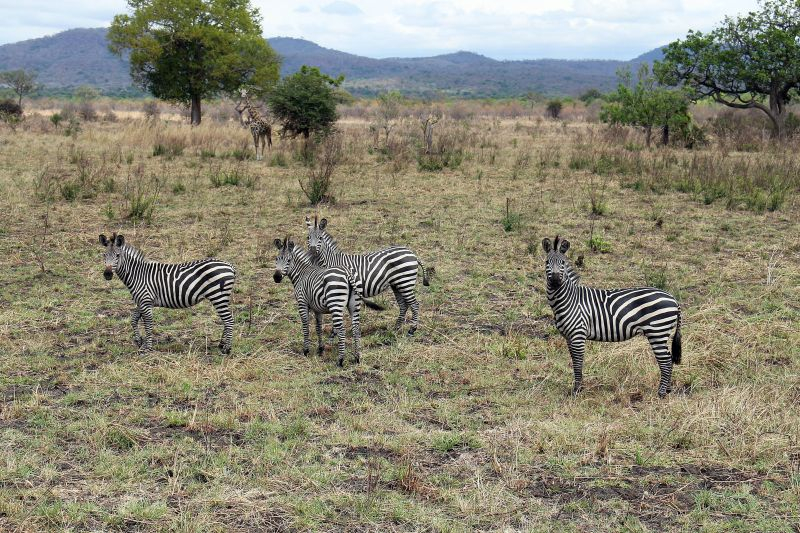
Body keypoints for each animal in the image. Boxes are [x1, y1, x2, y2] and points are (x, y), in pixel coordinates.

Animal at [97, 233, 234, 354]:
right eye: (104, 255)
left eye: (117, 255)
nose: (107, 274)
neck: (138, 274)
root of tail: (230, 266)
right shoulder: (141, 301)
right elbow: (134, 319)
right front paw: (139, 341)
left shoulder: (146, 301)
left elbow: (148, 324)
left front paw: (148, 348)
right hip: (221, 297)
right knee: (226, 320)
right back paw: (221, 344)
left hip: (218, 296)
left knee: (229, 320)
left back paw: (227, 349)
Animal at [272, 237, 384, 366]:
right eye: (276, 259)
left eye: (289, 260)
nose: (276, 277)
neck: (301, 274)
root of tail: (347, 273)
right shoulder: (317, 308)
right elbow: (318, 327)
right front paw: (320, 349)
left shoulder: (302, 303)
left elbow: (305, 327)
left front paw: (306, 351)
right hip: (354, 305)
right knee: (356, 329)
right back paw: (357, 358)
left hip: (335, 304)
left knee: (342, 330)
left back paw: (340, 360)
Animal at [540, 235, 684, 396]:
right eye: (547, 262)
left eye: (563, 263)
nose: (555, 281)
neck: (569, 299)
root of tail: (673, 299)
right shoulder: (569, 337)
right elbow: (574, 362)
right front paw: (579, 387)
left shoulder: (578, 335)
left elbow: (577, 363)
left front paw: (577, 391)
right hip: (661, 333)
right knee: (669, 359)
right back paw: (668, 390)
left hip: (657, 332)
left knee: (666, 361)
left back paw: (661, 393)